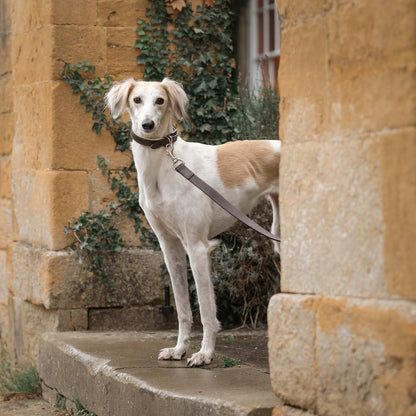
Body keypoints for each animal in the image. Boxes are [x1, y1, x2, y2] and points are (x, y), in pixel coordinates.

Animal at [105, 79, 282, 368]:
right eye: (136, 99)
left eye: (161, 100)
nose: (147, 125)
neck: (165, 167)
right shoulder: (170, 248)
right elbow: (183, 309)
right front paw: (178, 349)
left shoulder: (198, 247)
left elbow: (207, 310)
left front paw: (204, 354)